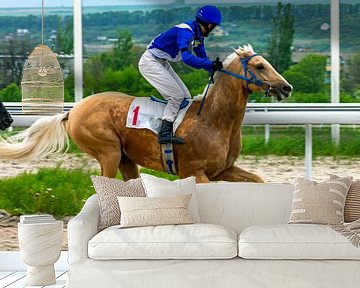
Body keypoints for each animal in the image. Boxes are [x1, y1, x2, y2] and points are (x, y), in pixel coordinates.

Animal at [0, 45, 292, 183]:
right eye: (260, 66)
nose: (286, 87)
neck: (214, 120)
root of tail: (72, 112)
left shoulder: (223, 171)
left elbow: (259, 179)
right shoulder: (195, 173)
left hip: (126, 160)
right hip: (108, 153)